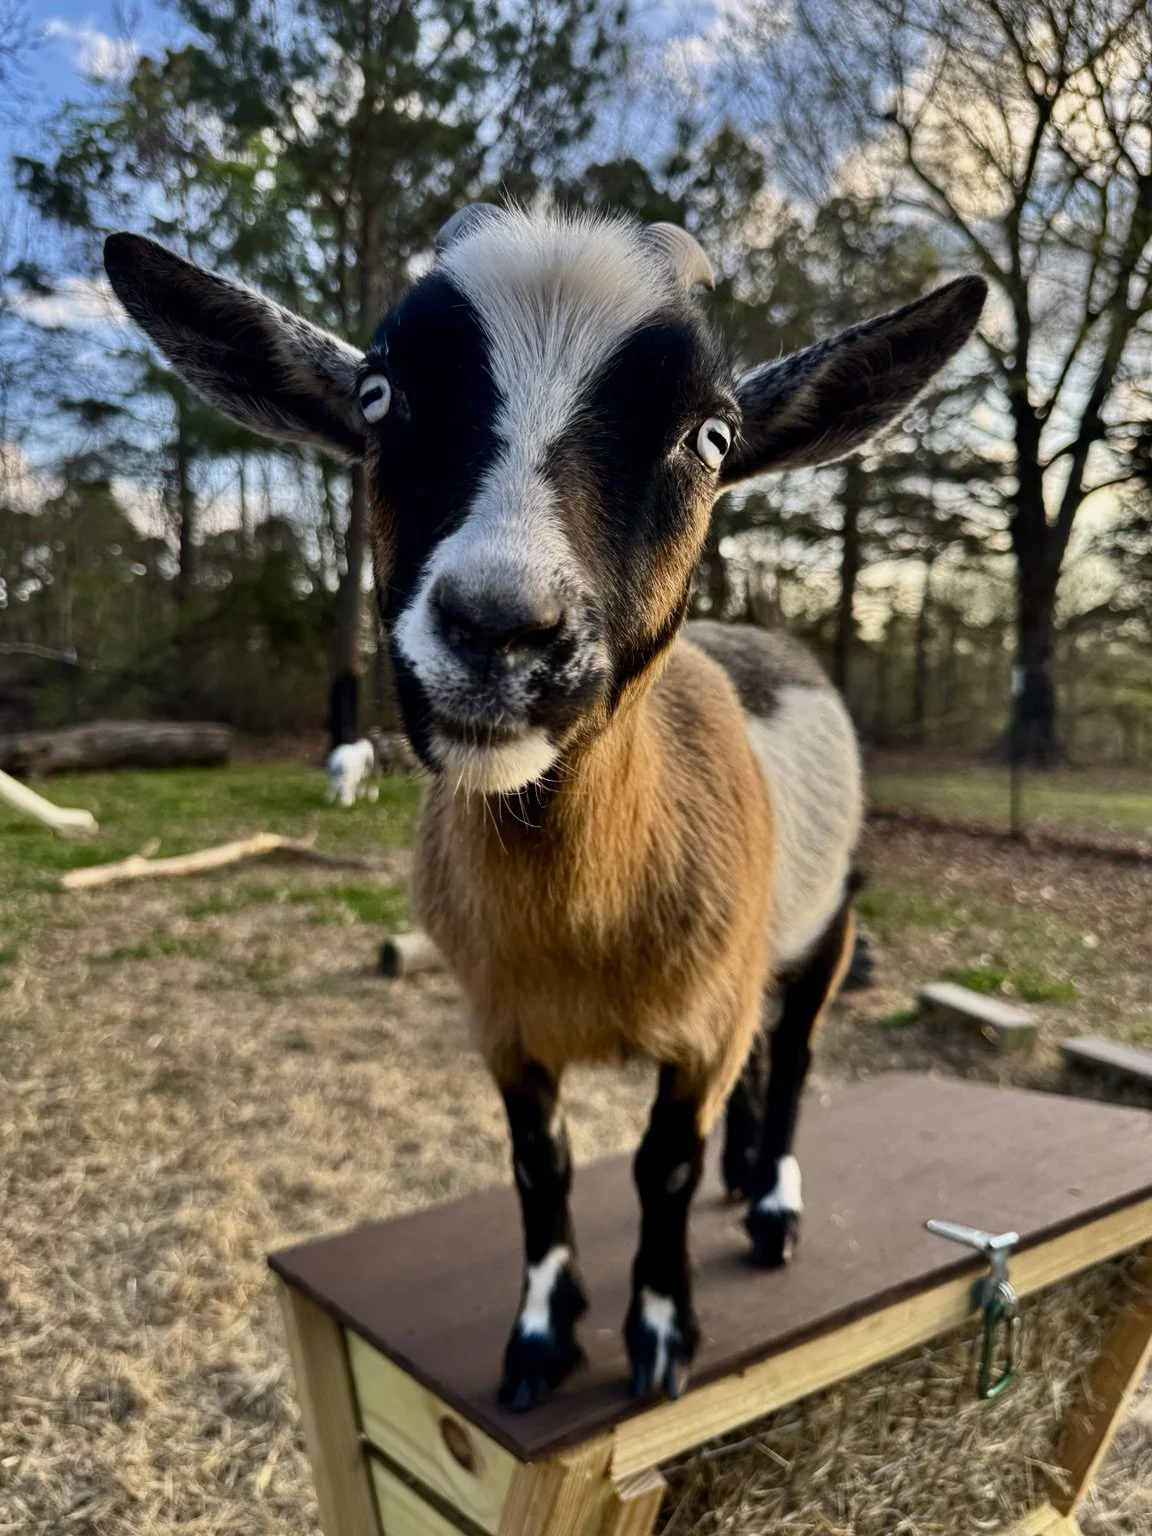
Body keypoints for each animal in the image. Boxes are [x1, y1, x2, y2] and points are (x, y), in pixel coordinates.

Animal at [103, 208, 985, 1409]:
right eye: (379, 393)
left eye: (713, 435)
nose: (499, 629)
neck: (584, 928)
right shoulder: (503, 1024)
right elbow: (541, 1163)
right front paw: (541, 1334)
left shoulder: (700, 1025)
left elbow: (664, 1163)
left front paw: (659, 1333)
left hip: (828, 921)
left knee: (794, 1052)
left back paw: (770, 1202)